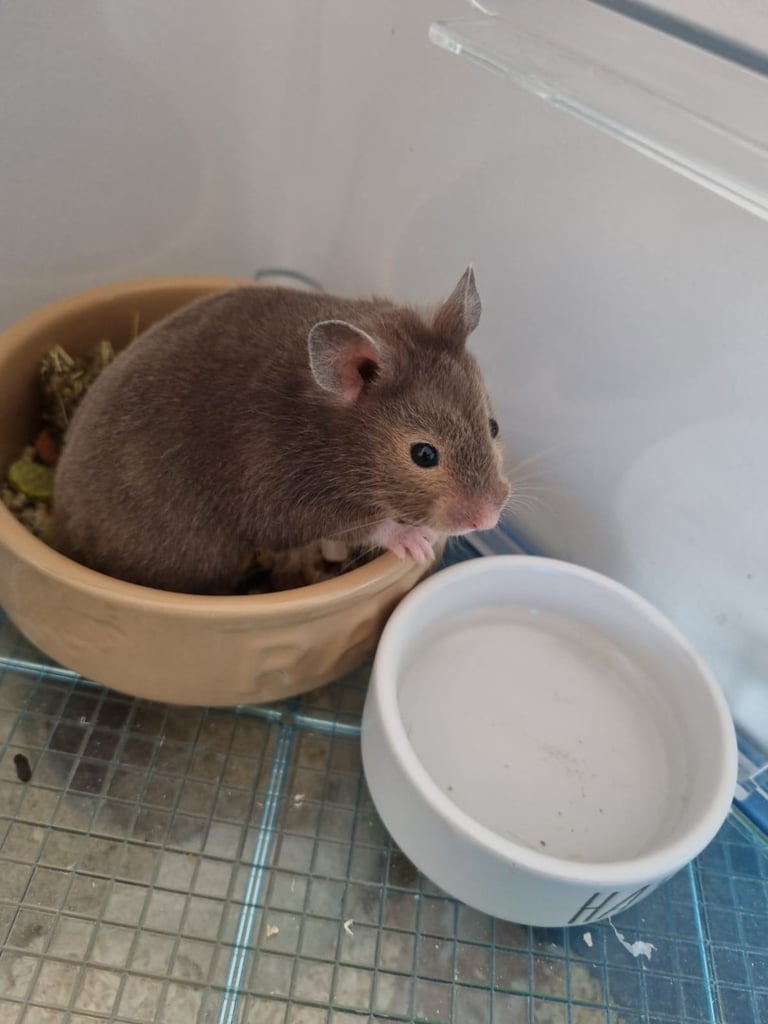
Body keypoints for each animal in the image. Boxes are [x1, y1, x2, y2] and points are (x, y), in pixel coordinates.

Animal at [52, 268, 510, 594]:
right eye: (423, 454)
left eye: (493, 425)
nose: (488, 520)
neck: (334, 436)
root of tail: (64, 524)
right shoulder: (289, 501)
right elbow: (365, 526)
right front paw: (417, 542)